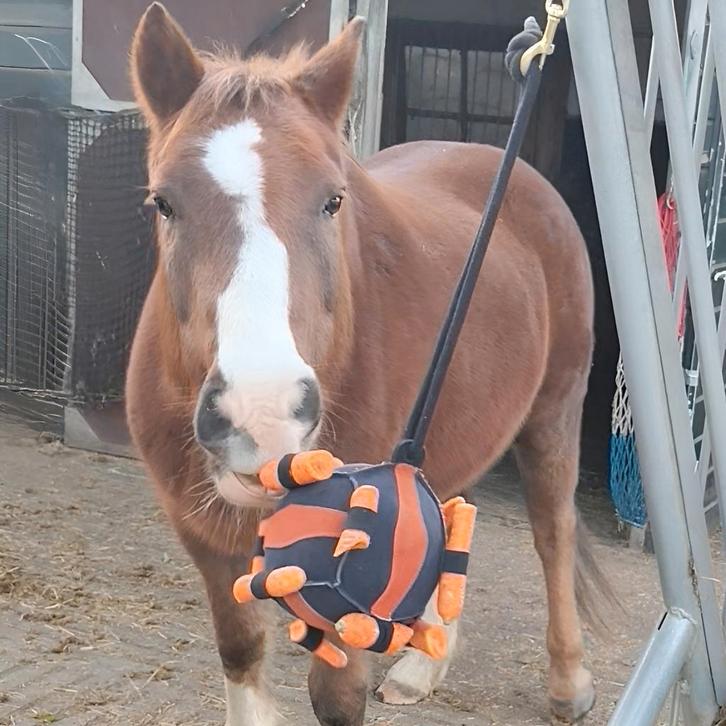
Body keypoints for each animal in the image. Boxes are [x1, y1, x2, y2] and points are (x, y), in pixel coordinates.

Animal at [125, 4, 609, 724]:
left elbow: (337, 696)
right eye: (163, 201)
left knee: (554, 533)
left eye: (333, 200)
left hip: (555, 410)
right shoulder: (205, 540)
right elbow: (242, 657)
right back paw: (422, 667)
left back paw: (568, 684)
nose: (261, 416)